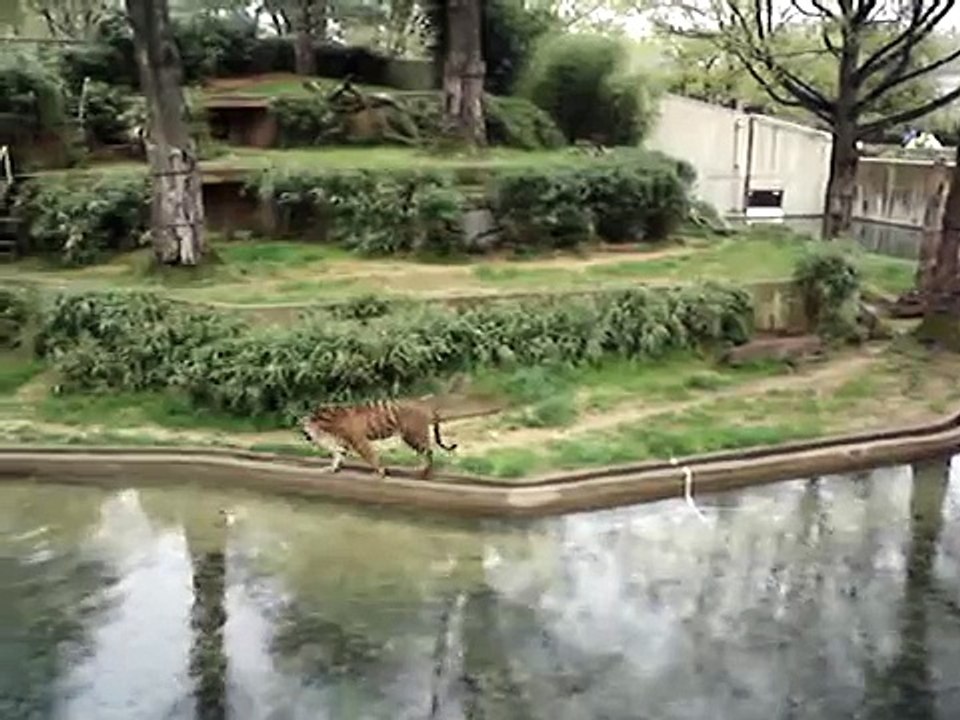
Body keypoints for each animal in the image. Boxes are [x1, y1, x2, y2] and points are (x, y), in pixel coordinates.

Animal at [299, 399, 458, 479]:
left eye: (303, 427)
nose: (304, 435)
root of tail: (425, 406)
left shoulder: (359, 441)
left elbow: (370, 456)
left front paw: (380, 472)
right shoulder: (345, 443)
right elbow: (338, 455)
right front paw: (332, 469)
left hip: (413, 435)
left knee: (428, 452)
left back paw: (425, 473)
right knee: (426, 452)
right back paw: (422, 471)